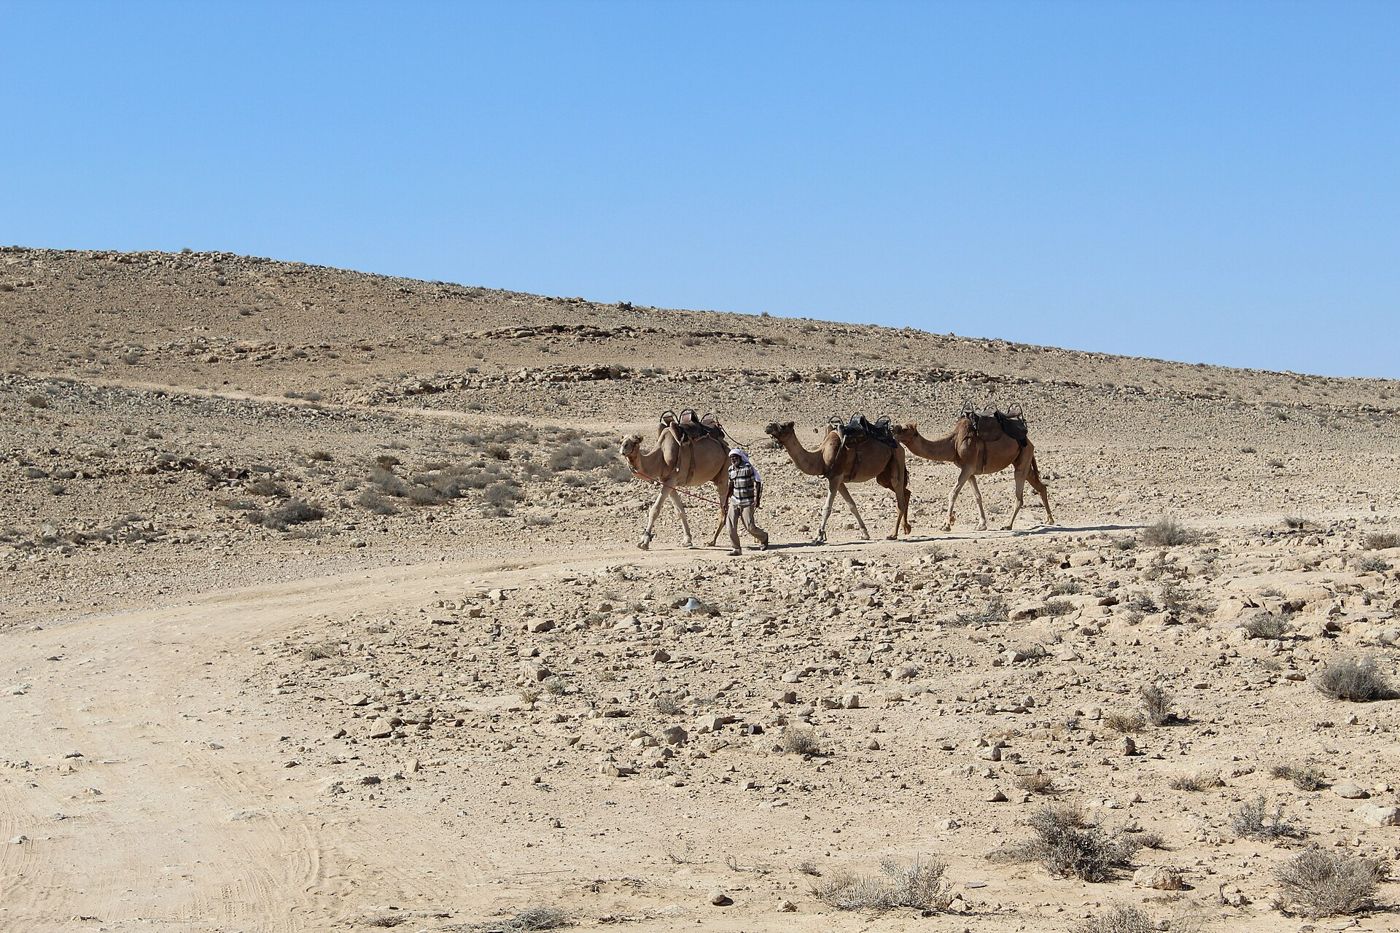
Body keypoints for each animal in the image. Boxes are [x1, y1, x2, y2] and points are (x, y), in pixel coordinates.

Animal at [763, 421, 911, 543]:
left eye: (782, 426)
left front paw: (818, 536)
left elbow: (827, 508)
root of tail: (898, 445)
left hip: (897, 459)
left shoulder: (835, 477)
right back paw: (906, 528)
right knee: (906, 492)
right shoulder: (838, 480)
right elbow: (852, 505)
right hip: (883, 476)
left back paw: (893, 534)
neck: (820, 457)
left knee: (900, 498)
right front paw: (865, 534)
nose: (768, 426)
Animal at [893, 416, 1053, 531]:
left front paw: (946, 525)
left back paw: (1008, 525)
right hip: (1023, 460)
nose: (893, 430)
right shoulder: (969, 471)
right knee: (1040, 486)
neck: (953, 443)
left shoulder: (968, 467)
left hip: (1023, 459)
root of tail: (1029, 441)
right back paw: (1050, 519)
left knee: (1019, 494)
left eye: (905, 429)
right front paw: (982, 525)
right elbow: (977, 496)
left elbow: (953, 494)